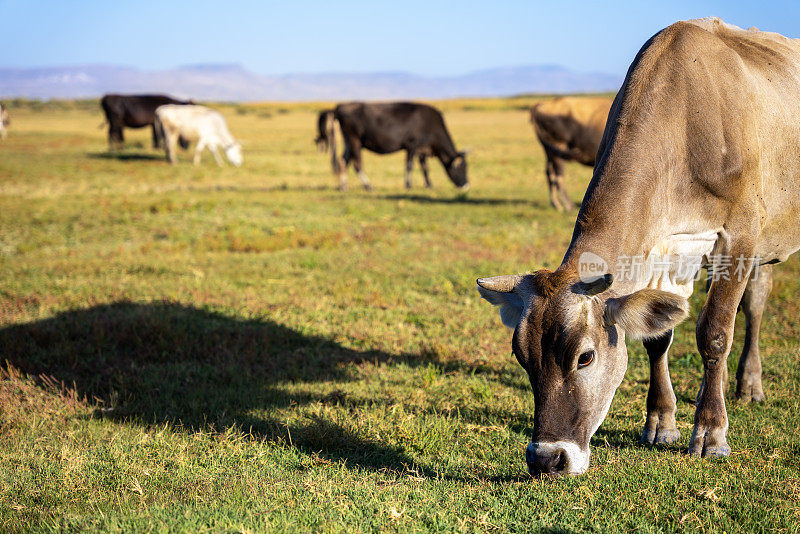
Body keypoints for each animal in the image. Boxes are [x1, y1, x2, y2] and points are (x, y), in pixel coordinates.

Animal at [318, 101, 468, 192]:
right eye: (461, 167)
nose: (466, 185)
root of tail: (339, 106)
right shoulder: (412, 145)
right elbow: (409, 165)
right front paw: (408, 185)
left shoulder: (422, 150)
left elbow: (425, 167)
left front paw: (429, 185)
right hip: (355, 141)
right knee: (357, 164)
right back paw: (369, 186)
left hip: (348, 143)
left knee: (343, 161)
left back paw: (344, 186)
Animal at [478, 16, 796, 478]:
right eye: (522, 356)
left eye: (586, 357)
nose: (546, 458)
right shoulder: (662, 253)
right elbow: (657, 336)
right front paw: (661, 422)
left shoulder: (739, 234)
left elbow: (716, 332)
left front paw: (710, 433)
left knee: (752, 306)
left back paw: (746, 384)